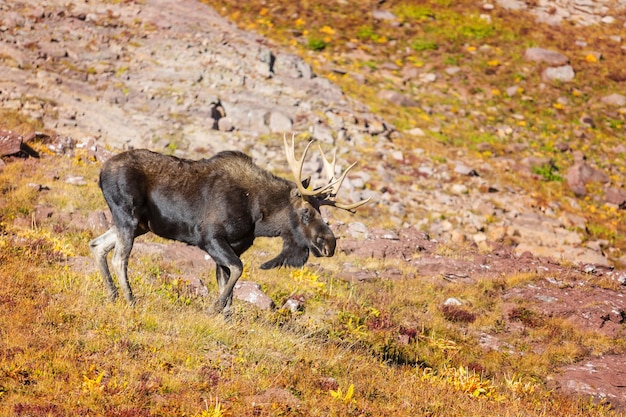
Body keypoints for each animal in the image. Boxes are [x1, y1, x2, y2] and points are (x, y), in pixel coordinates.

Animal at [90, 135, 368, 314]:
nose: (329, 244)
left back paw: (112, 294)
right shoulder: (210, 238)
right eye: (306, 211)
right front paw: (214, 309)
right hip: (127, 215)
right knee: (119, 257)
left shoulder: (233, 246)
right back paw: (129, 299)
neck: (258, 216)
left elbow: (229, 282)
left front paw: (225, 316)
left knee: (97, 245)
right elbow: (237, 270)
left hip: (139, 224)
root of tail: (102, 172)